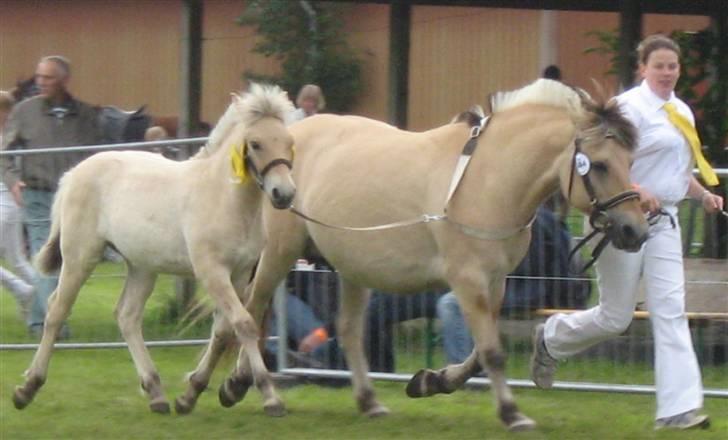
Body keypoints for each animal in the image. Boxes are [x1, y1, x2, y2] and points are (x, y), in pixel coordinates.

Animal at [12, 83, 296, 416]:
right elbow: (245, 324)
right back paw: (27, 388)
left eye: (289, 142)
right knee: (57, 309)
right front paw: (270, 396)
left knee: (127, 316)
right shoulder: (211, 271)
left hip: (141, 267)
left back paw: (156, 392)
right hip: (80, 257)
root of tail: (72, 174)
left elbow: (224, 330)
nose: (284, 193)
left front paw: (191, 395)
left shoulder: (238, 274)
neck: (222, 198)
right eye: (256, 143)